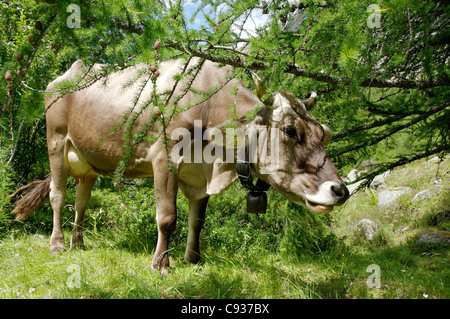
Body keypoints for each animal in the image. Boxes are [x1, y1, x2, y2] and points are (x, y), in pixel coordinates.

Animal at [9, 58, 348, 278]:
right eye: (290, 131)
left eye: (324, 133)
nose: (341, 190)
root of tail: (67, 74)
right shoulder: (165, 159)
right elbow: (167, 218)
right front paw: (161, 264)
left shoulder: (201, 174)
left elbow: (198, 221)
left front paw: (193, 259)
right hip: (55, 142)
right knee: (57, 195)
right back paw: (57, 244)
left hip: (88, 160)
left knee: (81, 201)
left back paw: (78, 243)